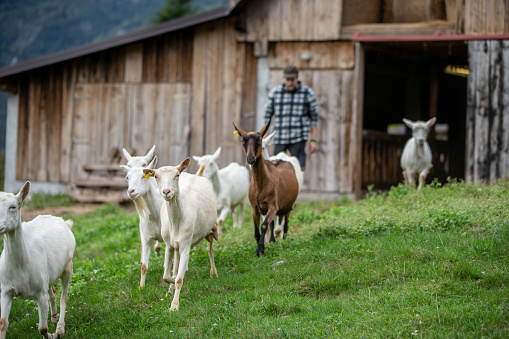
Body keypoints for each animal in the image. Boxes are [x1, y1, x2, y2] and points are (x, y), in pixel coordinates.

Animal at [0, 183, 75, 339]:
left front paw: (52, 335)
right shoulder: (5, 289)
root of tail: (62, 221)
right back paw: (53, 317)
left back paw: (60, 328)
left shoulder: (40, 292)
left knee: (63, 297)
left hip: (68, 266)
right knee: (52, 292)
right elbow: (3, 323)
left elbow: (42, 328)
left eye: (13, 207)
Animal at [121, 155, 163, 288]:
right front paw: (141, 287)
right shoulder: (145, 237)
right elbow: (144, 266)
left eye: (143, 176)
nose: (131, 191)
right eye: (127, 177)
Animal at [145, 158, 220, 312]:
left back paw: (213, 273)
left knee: (210, 249)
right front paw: (171, 285)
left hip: (207, 230)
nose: (166, 192)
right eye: (156, 176)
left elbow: (179, 278)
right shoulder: (168, 245)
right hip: (176, 245)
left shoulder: (186, 244)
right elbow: (166, 275)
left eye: (177, 175)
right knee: (176, 262)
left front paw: (174, 306)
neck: (176, 222)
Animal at [233, 121, 300, 256]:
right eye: (243, 141)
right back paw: (273, 240)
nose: (250, 158)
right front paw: (262, 245)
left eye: (259, 140)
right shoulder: (255, 208)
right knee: (273, 223)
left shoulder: (273, 206)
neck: (262, 186)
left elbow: (263, 226)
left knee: (286, 223)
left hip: (289, 205)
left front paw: (260, 250)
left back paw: (284, 239)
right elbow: (256, 229)